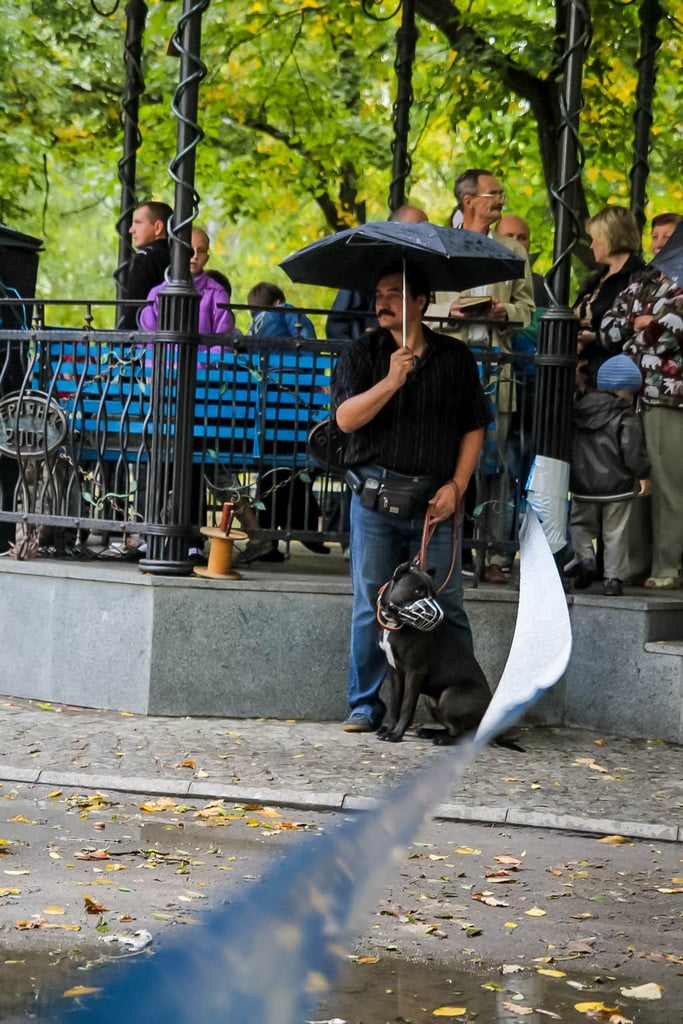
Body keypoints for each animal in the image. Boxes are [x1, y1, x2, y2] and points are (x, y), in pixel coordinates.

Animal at [374, 561, 491, 745]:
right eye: (417, 591)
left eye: (433, 594)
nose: (435, 614)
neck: (395, 623)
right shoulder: (395, 673)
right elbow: (394, 705)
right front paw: (389, 729)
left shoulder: (415, 672)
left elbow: (406, 706)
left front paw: (396, 734)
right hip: (430, 699)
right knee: (453, 728)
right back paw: (431, 732)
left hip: (450, 694)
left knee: (465, 734)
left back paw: (443, 739)